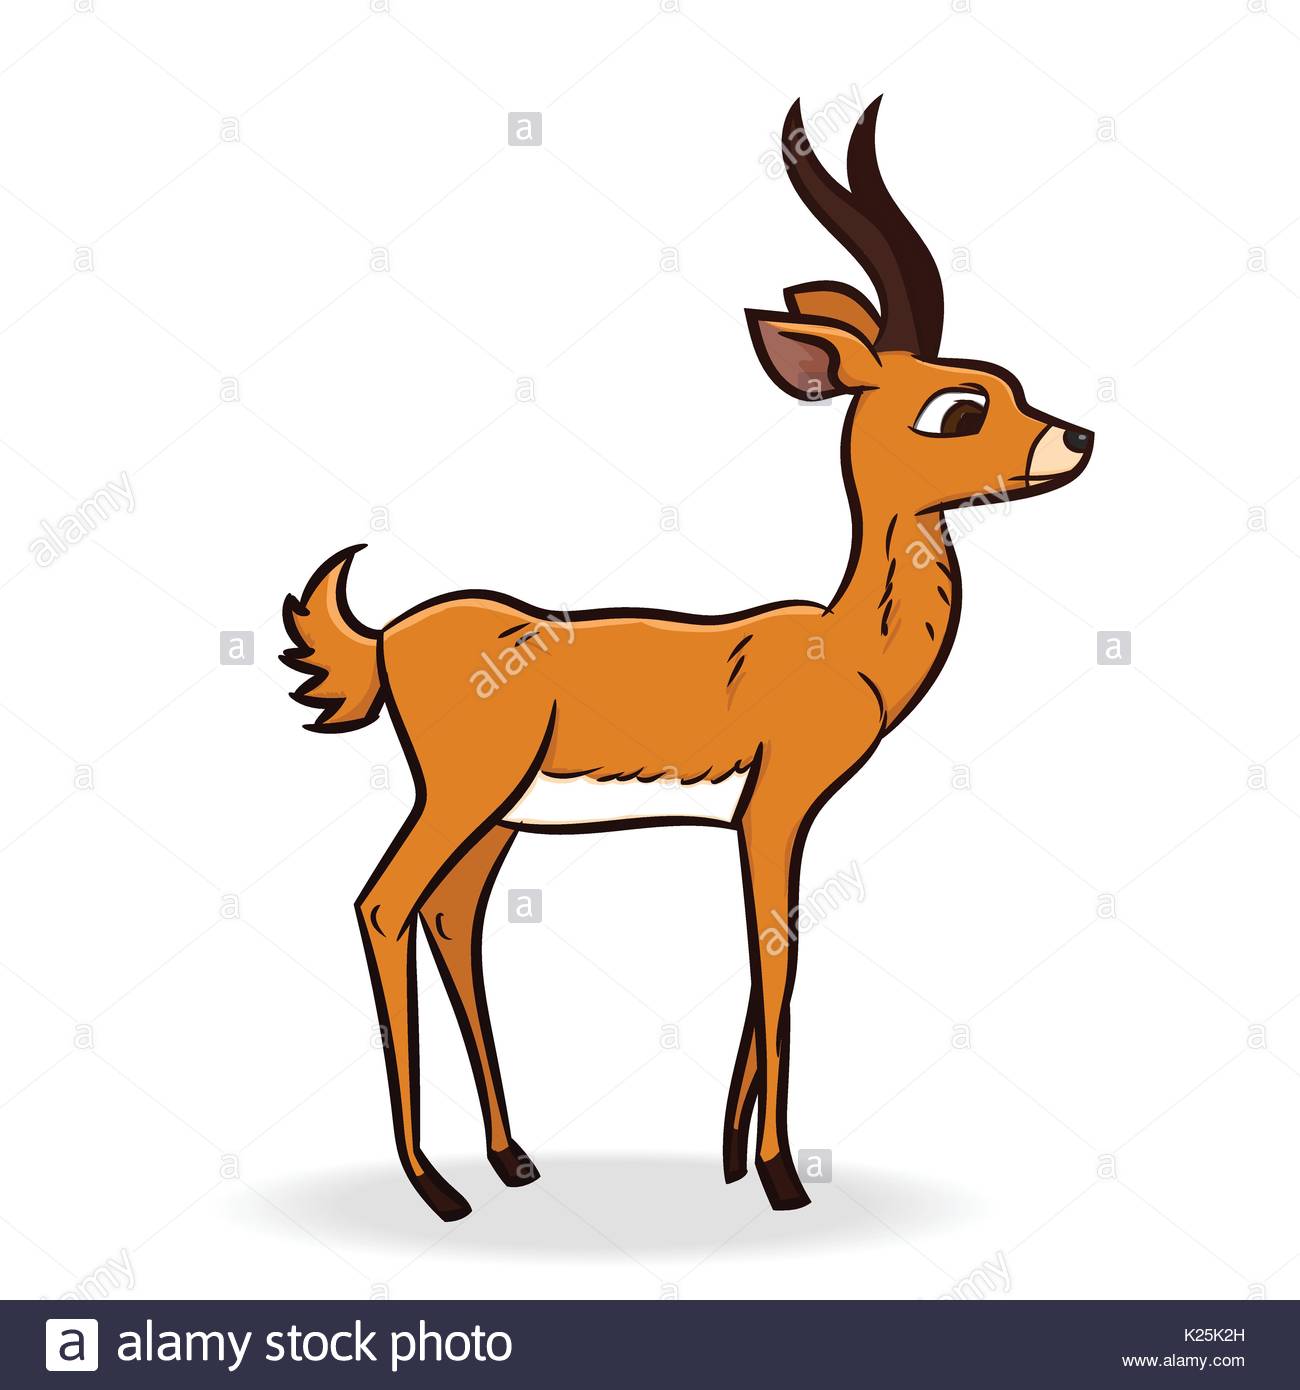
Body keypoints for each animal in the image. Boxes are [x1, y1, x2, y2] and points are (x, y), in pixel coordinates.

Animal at [281, 96, 1093, 1220]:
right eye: (960, 407)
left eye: (1009, 385)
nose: (1078, 438)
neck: (841, 644)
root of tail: (386, 635)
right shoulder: (773, 806)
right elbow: (776, 960)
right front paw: (783, 1178)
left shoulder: (769, 818)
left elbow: (766, 968)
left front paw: (731, 1158)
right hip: (460, 794)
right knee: (382, 905)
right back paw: (437, 1189)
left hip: (498, 818)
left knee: (449, 915)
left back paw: (512, 1160)